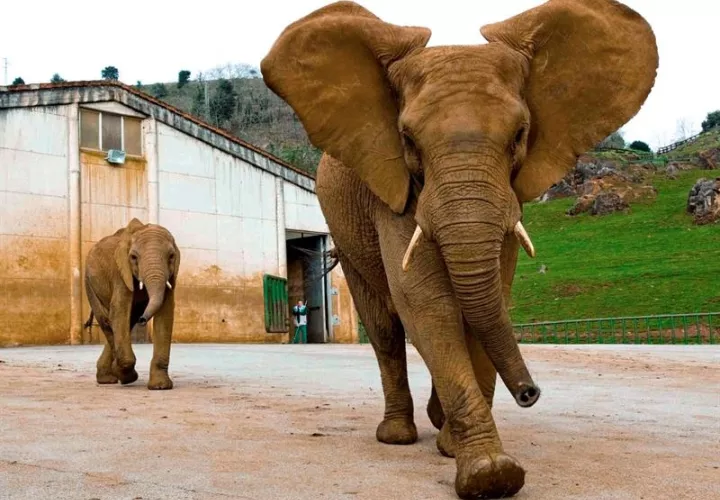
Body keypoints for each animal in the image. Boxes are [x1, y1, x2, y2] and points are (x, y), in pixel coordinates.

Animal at [84, 218, 181, 390]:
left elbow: (166, 314)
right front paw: (129, 378)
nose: (143, 320)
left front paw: (160, 387)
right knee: (107, 321)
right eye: (134, 257)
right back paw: (114, 377)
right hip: (88, 283)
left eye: (171, 256)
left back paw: (109, 378)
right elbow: (119, 310)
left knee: (126, 322)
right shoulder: (120, 272)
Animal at [261, 0, 657, 497]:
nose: (530, 393)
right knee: (386, 329)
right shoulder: (393, 188)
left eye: (520, 135)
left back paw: (436, 424)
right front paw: (491, 475)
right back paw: (397, 436)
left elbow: (489, 299)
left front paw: (457, 451)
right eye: (408, 140)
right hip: (345, 232)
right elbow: (426, 302)